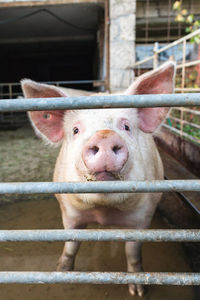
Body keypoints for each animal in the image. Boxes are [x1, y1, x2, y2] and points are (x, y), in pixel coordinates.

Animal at [21, 61, 176, 298]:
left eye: (126, 127)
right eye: (76, 130)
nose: (104, 136)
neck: (103, 209)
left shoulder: (142, 215)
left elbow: (133, 252)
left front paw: (138, 291)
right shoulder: (69, 211)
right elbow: (71, 243)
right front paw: (61, 272)